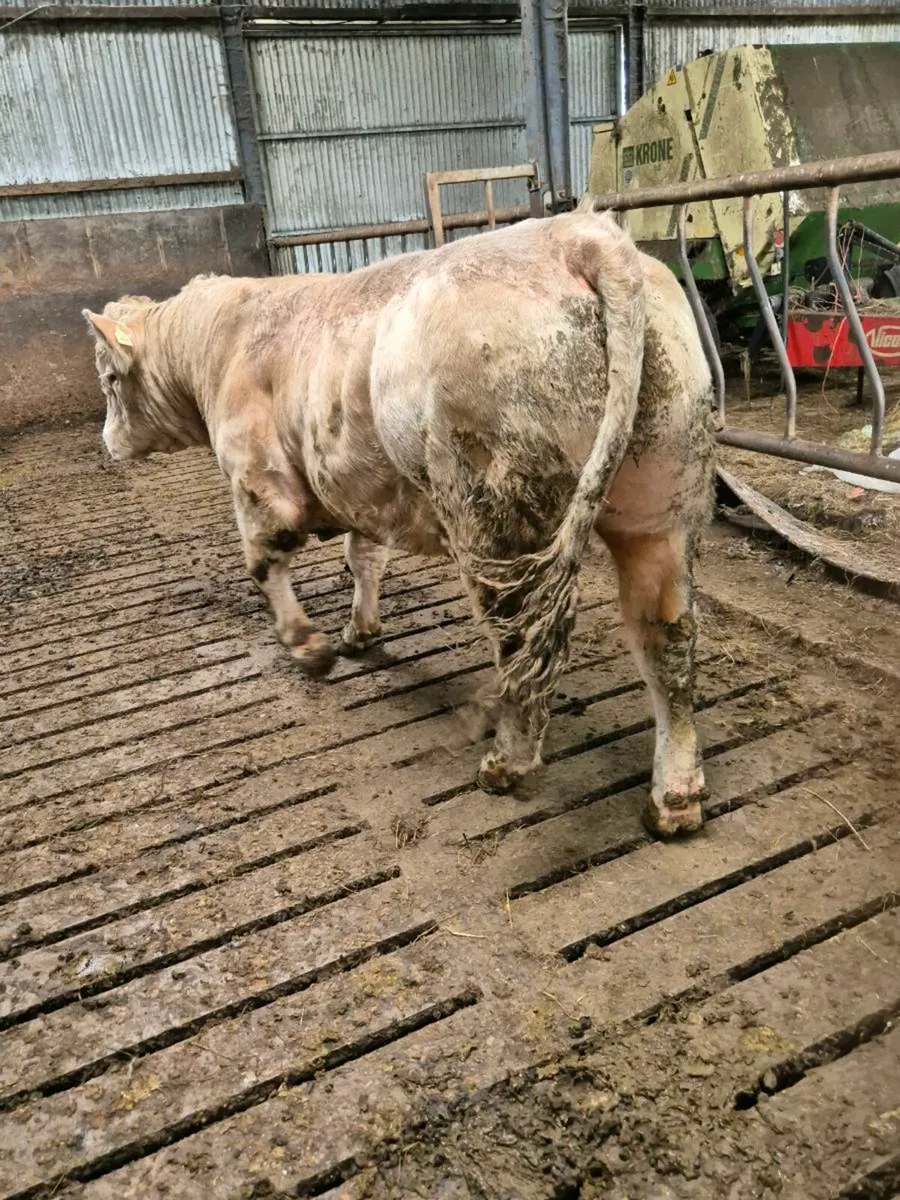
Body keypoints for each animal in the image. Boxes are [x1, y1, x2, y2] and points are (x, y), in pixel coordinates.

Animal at [84, 204, 715, 837]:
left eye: (110, 380)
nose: (108, 442)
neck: (224, 340)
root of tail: (580, 235)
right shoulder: (361, 489)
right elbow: (364, 557)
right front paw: (360, 631)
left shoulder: (258, 479)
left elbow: (266, 563)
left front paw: (308, 647)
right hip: (660, 507)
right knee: (667, 640)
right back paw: (674, 798)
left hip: (495, 520)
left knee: (525, 637)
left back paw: (506, 762)